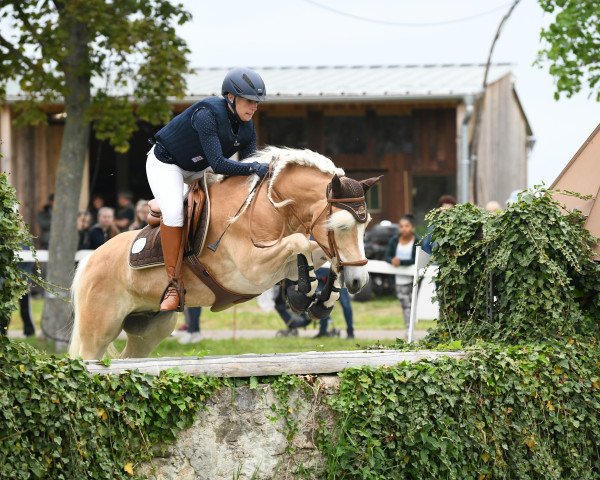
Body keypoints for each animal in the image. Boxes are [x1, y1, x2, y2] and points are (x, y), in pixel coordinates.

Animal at [70, 148, 378, 358]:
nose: (358, 282)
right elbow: (300, 241)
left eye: (366, 225)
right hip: (98, 331)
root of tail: (89, 260)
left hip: (151, 327)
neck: (270, 207)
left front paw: (321, 299)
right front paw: (304, 292)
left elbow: (317, 253)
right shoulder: (251, 270)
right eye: (340, 226)